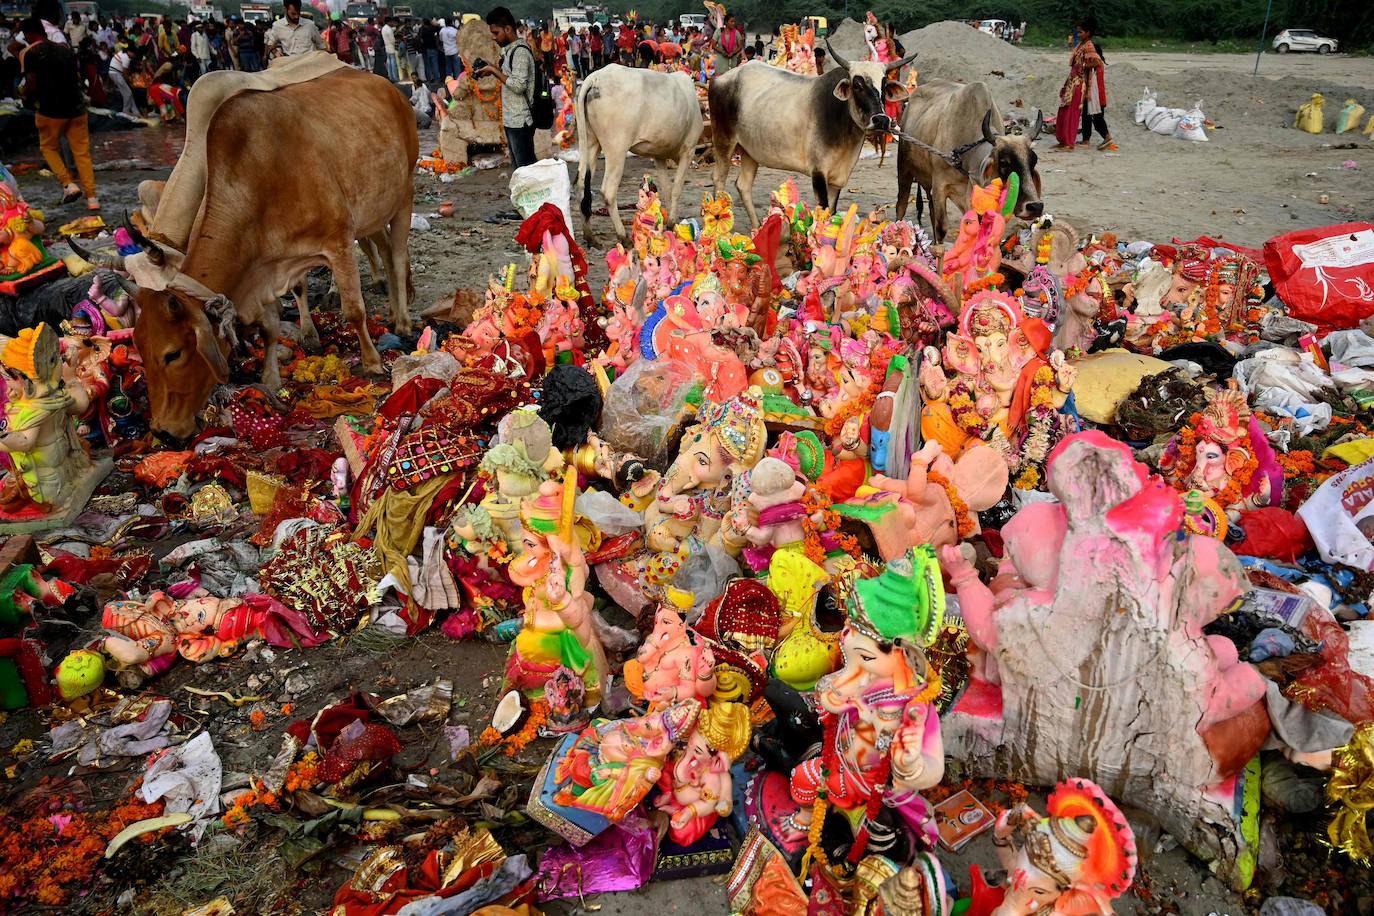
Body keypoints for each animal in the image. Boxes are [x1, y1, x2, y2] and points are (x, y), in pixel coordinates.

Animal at [122, 66, 412, 439]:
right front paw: (271, 377)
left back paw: (403, 321)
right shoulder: (268, 266)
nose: (162, 431)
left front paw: (373, 362)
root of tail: (386, 84)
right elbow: (271, 326)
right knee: (387, 254)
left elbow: (354, 312)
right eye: (139, 348)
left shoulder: (338, 244)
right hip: (374, 210)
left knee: (399, 257)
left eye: (173, 354)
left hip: (404, 194)